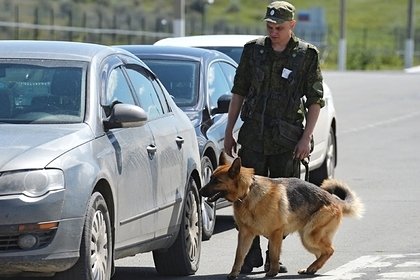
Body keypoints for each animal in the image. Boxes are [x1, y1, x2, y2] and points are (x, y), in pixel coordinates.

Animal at [200, 152, 364, 278]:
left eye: (217, 181)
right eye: (211, 178)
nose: (200, 191)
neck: (247, 193)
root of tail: (335, 200)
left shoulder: (276, 233)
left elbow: (273, 254)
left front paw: (273, 272)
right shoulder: (245, 234)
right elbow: (239, 255)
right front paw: (234, 273)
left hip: (309, 236)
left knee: (330, 250)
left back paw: (312, 267)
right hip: (308, 239)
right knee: (322, 253)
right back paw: (311, 268)